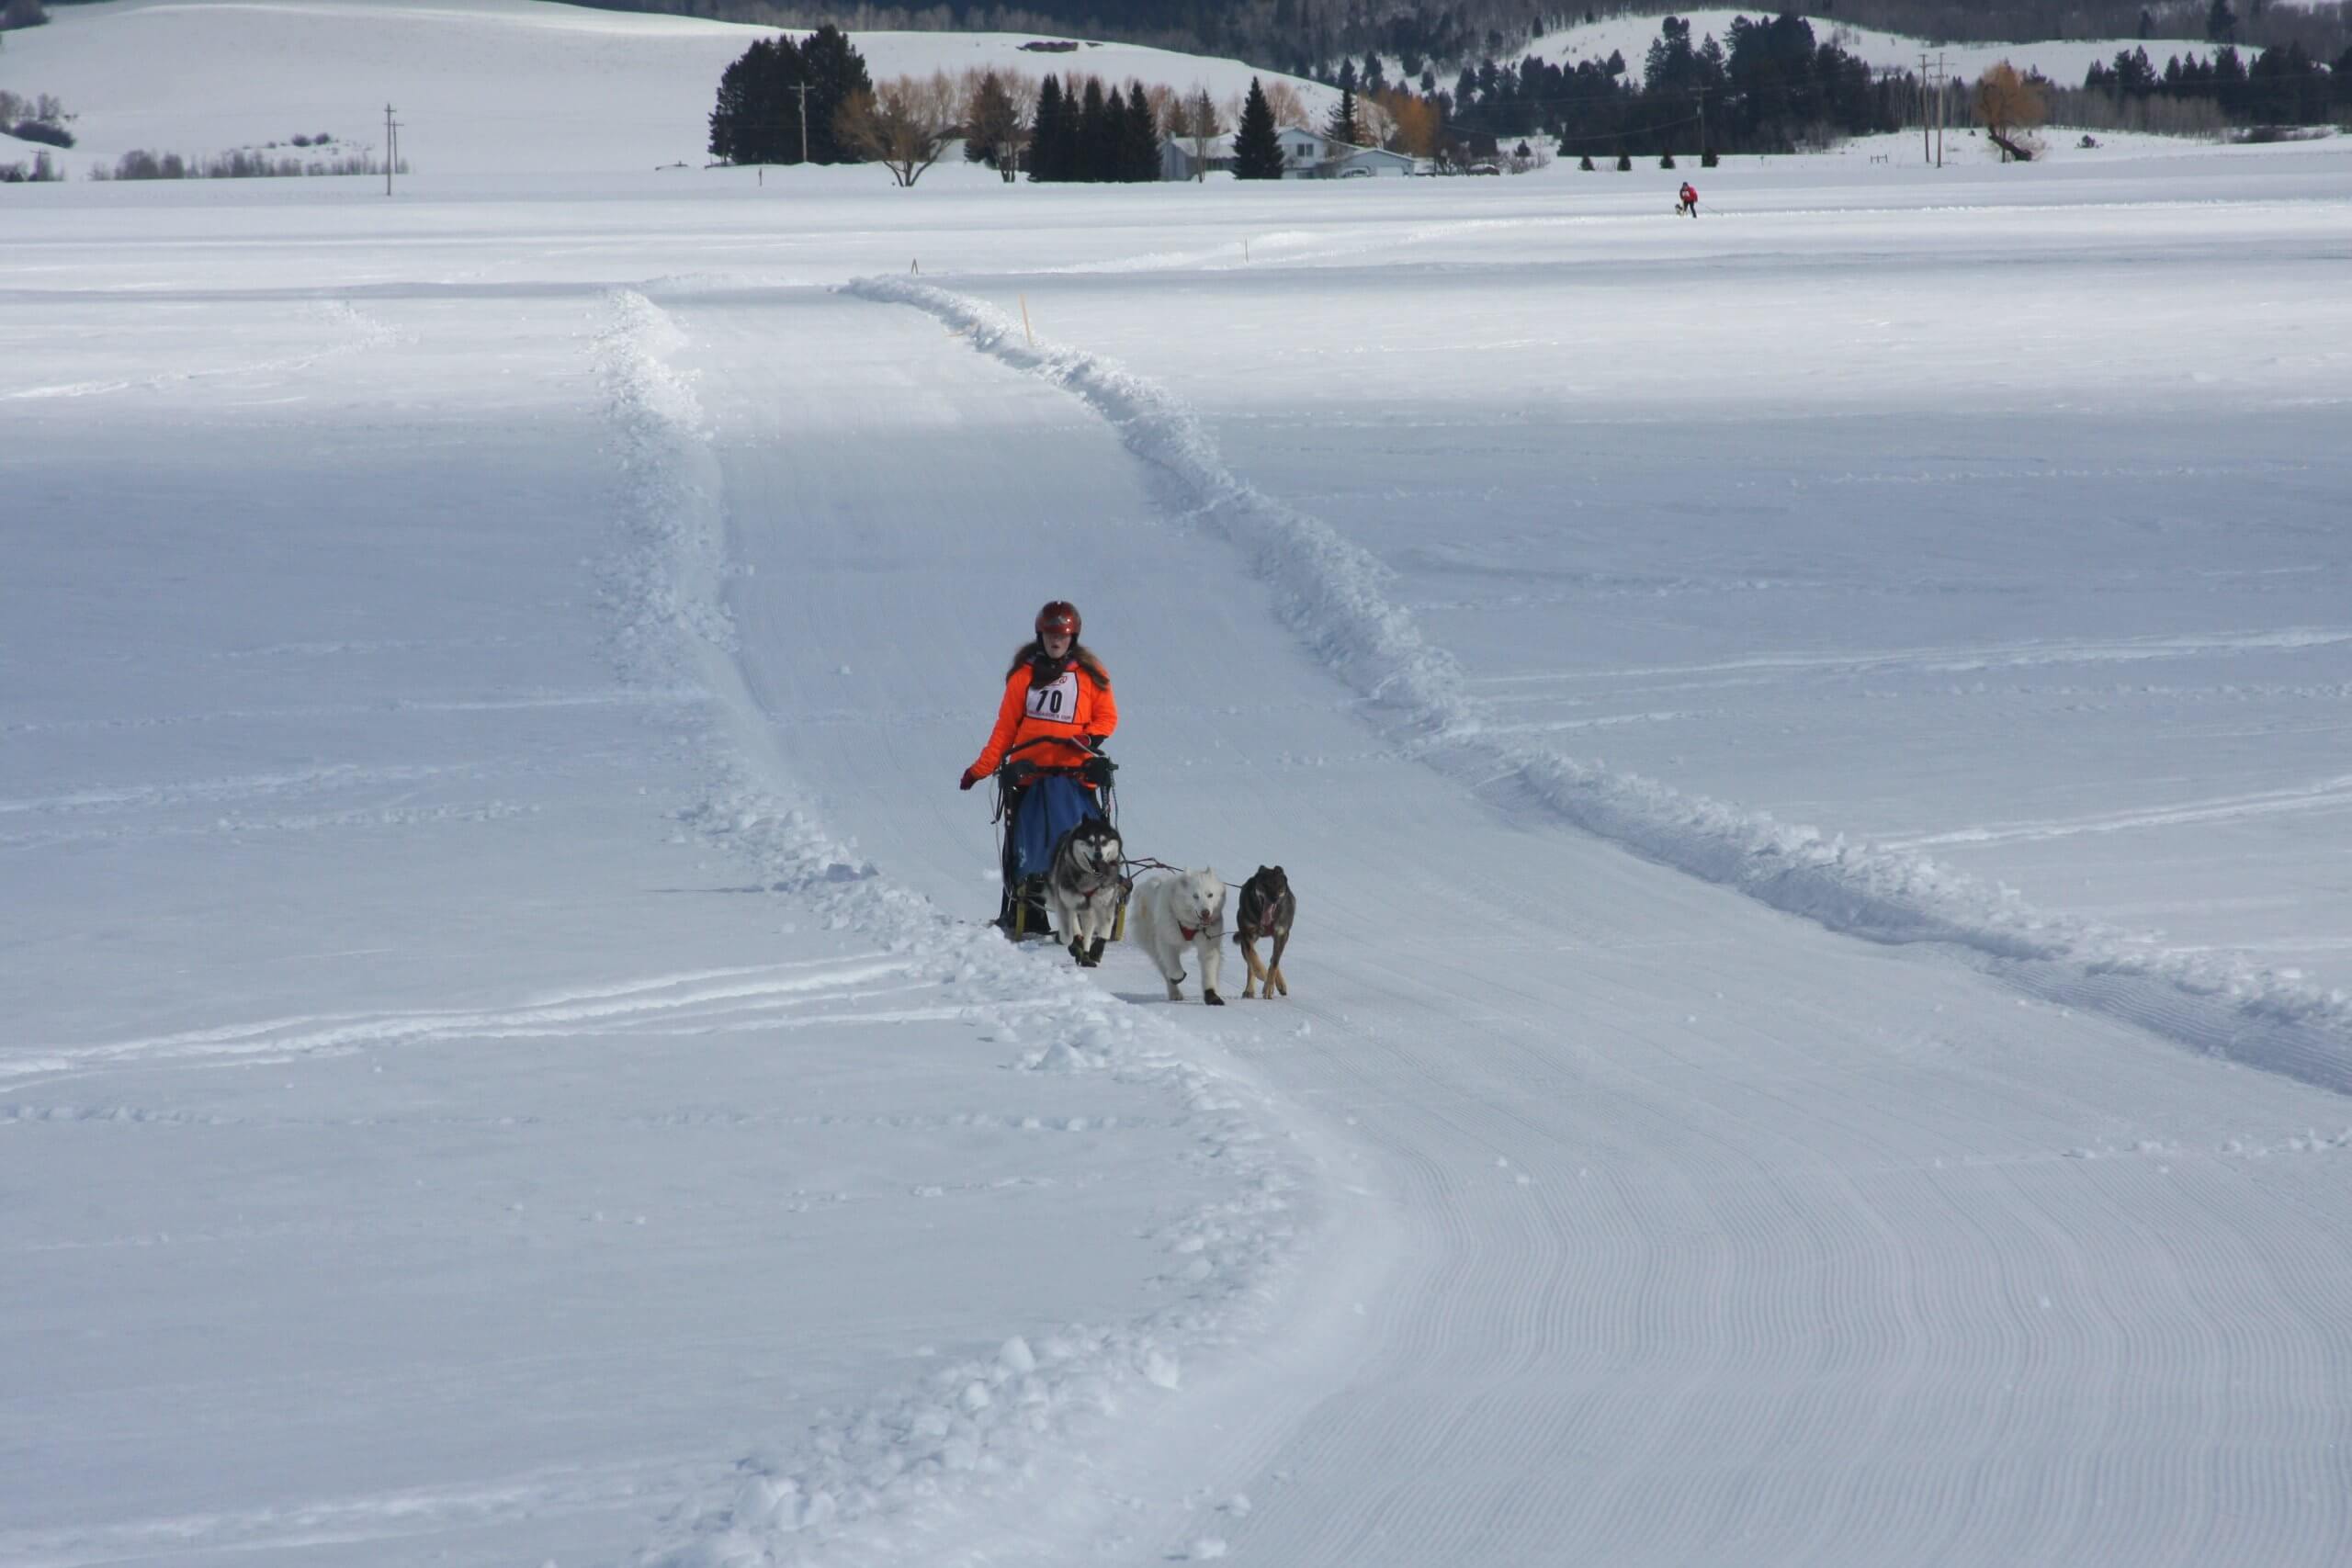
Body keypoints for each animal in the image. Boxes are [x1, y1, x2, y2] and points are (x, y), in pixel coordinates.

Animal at [1124, 869, 1232, 1006]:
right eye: (1195, 896)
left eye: (1210, 895)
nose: (1205, 912)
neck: (1191, 925)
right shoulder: (1167, 940)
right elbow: (1174, 968)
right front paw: (1178, 976)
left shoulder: (1209, 942)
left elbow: (1209, 965)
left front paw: (1212, 996)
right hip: (1151, 942)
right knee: (1164, 967)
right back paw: (1175, 992)